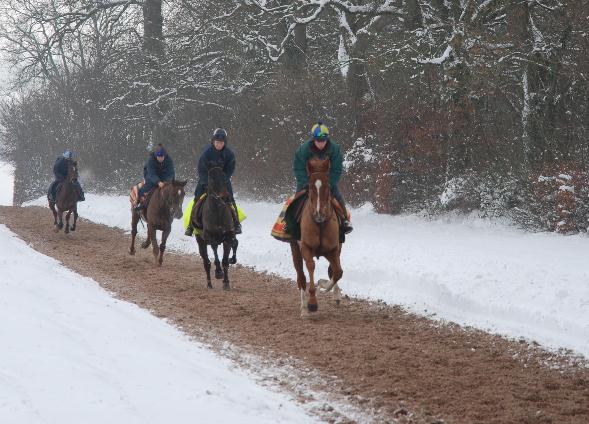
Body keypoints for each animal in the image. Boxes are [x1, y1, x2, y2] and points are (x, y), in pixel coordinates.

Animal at [290, 159, 342, 318]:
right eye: (310, 186)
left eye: (328, 186)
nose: (319, 213)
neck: (320, 223)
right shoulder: (306, 248)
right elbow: (311, 267)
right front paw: (312, 303)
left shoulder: (333, 250)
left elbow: (337, 272)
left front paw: (324, 286)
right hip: (295, 249)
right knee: (301, 277)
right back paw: (303, 308)